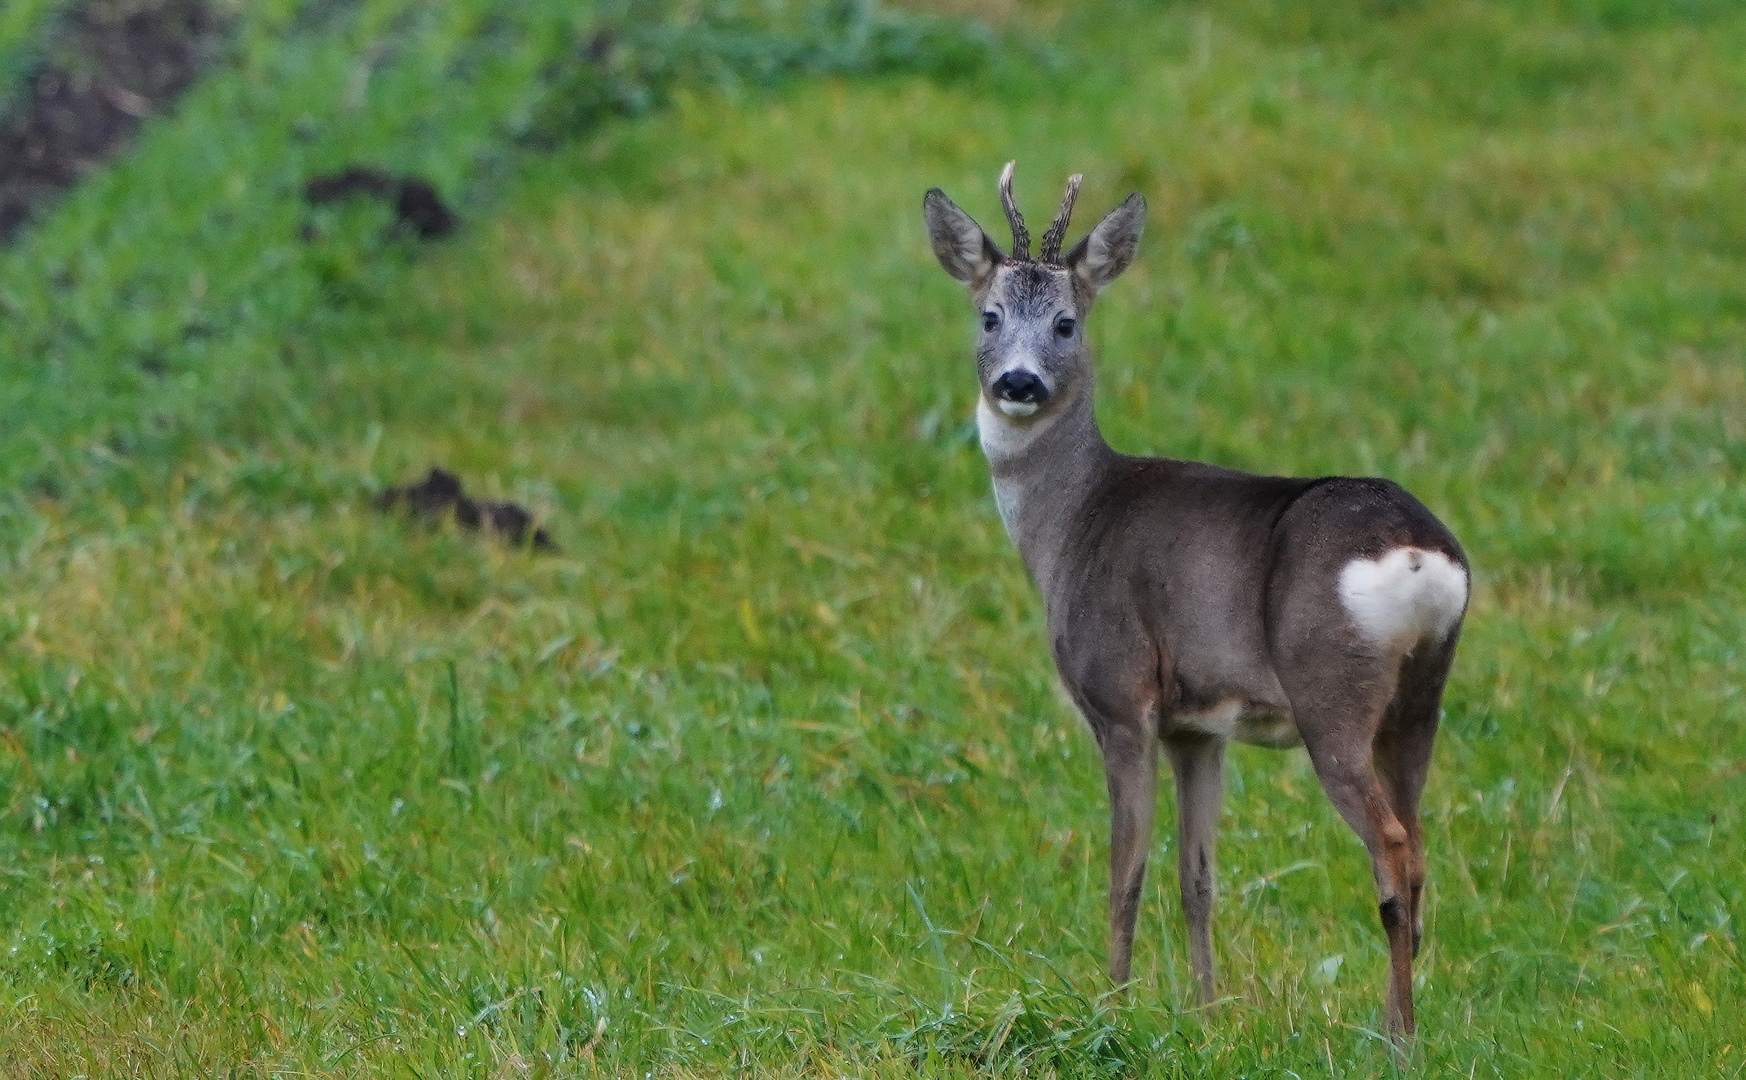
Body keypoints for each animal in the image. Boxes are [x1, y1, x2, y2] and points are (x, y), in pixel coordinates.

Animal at [921, 164, 1466, 1032]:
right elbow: (1197, 878)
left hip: (1331, 693)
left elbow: (1126, 875)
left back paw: (1395, 1037)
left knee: (1390, 847)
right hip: (1421, 699)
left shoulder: (1121, 696)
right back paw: (1403, 1022)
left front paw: (1110, 1006)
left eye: (1067, 323)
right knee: (1417, 846)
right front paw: (1208, 1013)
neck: (1072, 523)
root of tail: (1418, 555)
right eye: (990, 315)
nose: (1018, 382)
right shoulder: (1198, 728)